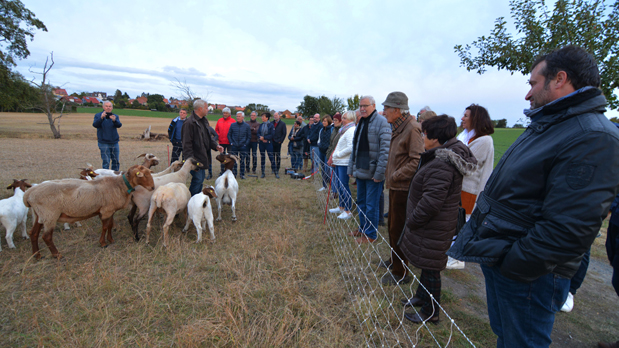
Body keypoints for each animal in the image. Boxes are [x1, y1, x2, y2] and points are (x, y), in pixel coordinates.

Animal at [24, 164, 155, 258]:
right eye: (142, 175)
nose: (152, 187)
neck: (119, 184)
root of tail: (28, 194)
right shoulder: (106, 210)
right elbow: (104, 227)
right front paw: (103, 243)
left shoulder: (110, 209)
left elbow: (110, 225)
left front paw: (111, 239)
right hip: (50, 215)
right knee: (46, 237)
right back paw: (57, 255)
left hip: (40, 215)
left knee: (33, 233)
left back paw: (37, 255)